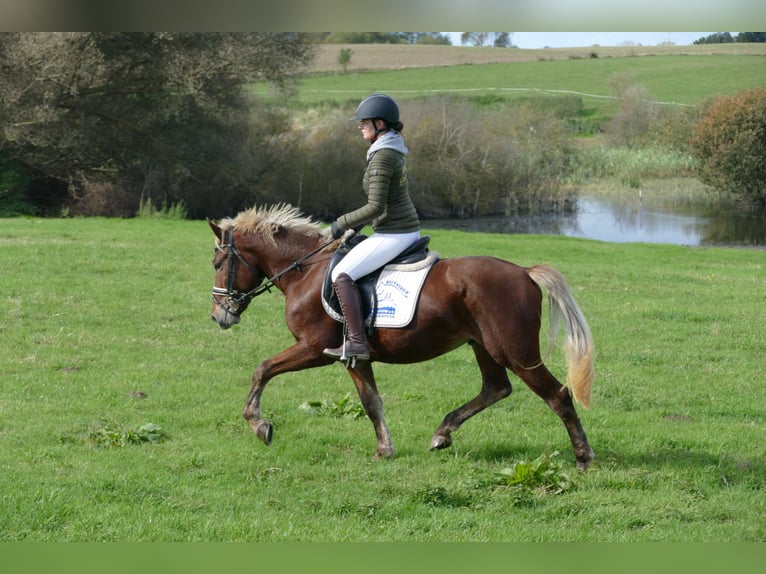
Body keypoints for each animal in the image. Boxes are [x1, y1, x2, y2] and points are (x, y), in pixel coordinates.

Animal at [210, 205, 600, 470]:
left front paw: (259, 424)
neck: (305, 271)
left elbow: (262, 369)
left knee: (558, 395)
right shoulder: (354, 356)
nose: (219, 315)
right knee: (496, 388)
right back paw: (443, 432)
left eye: (217, 263)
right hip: (484, 346)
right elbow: (371, 402)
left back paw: (583, 457)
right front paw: (385, 449)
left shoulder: (313, 348)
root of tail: (524, 272)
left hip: (515, 351)